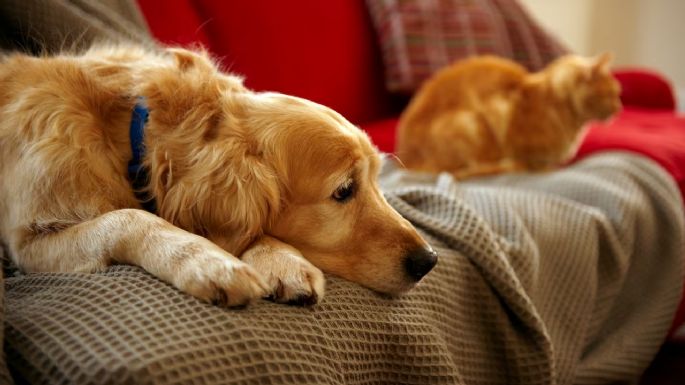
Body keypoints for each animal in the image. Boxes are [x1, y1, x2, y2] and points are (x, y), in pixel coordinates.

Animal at [0, 45, 436, 306]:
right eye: (344, 191)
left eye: (378, 178)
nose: (429, 260)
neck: (131, 134)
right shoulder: (30, 242)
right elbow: (130, 218)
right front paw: (208, 262)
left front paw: (281, 261)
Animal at [396, 53, 620, 178]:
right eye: (612, 94)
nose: (619, 108)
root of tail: (406, 160)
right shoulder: (501, 112)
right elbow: (533, 162)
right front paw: (543, 168)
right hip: (470, 123)